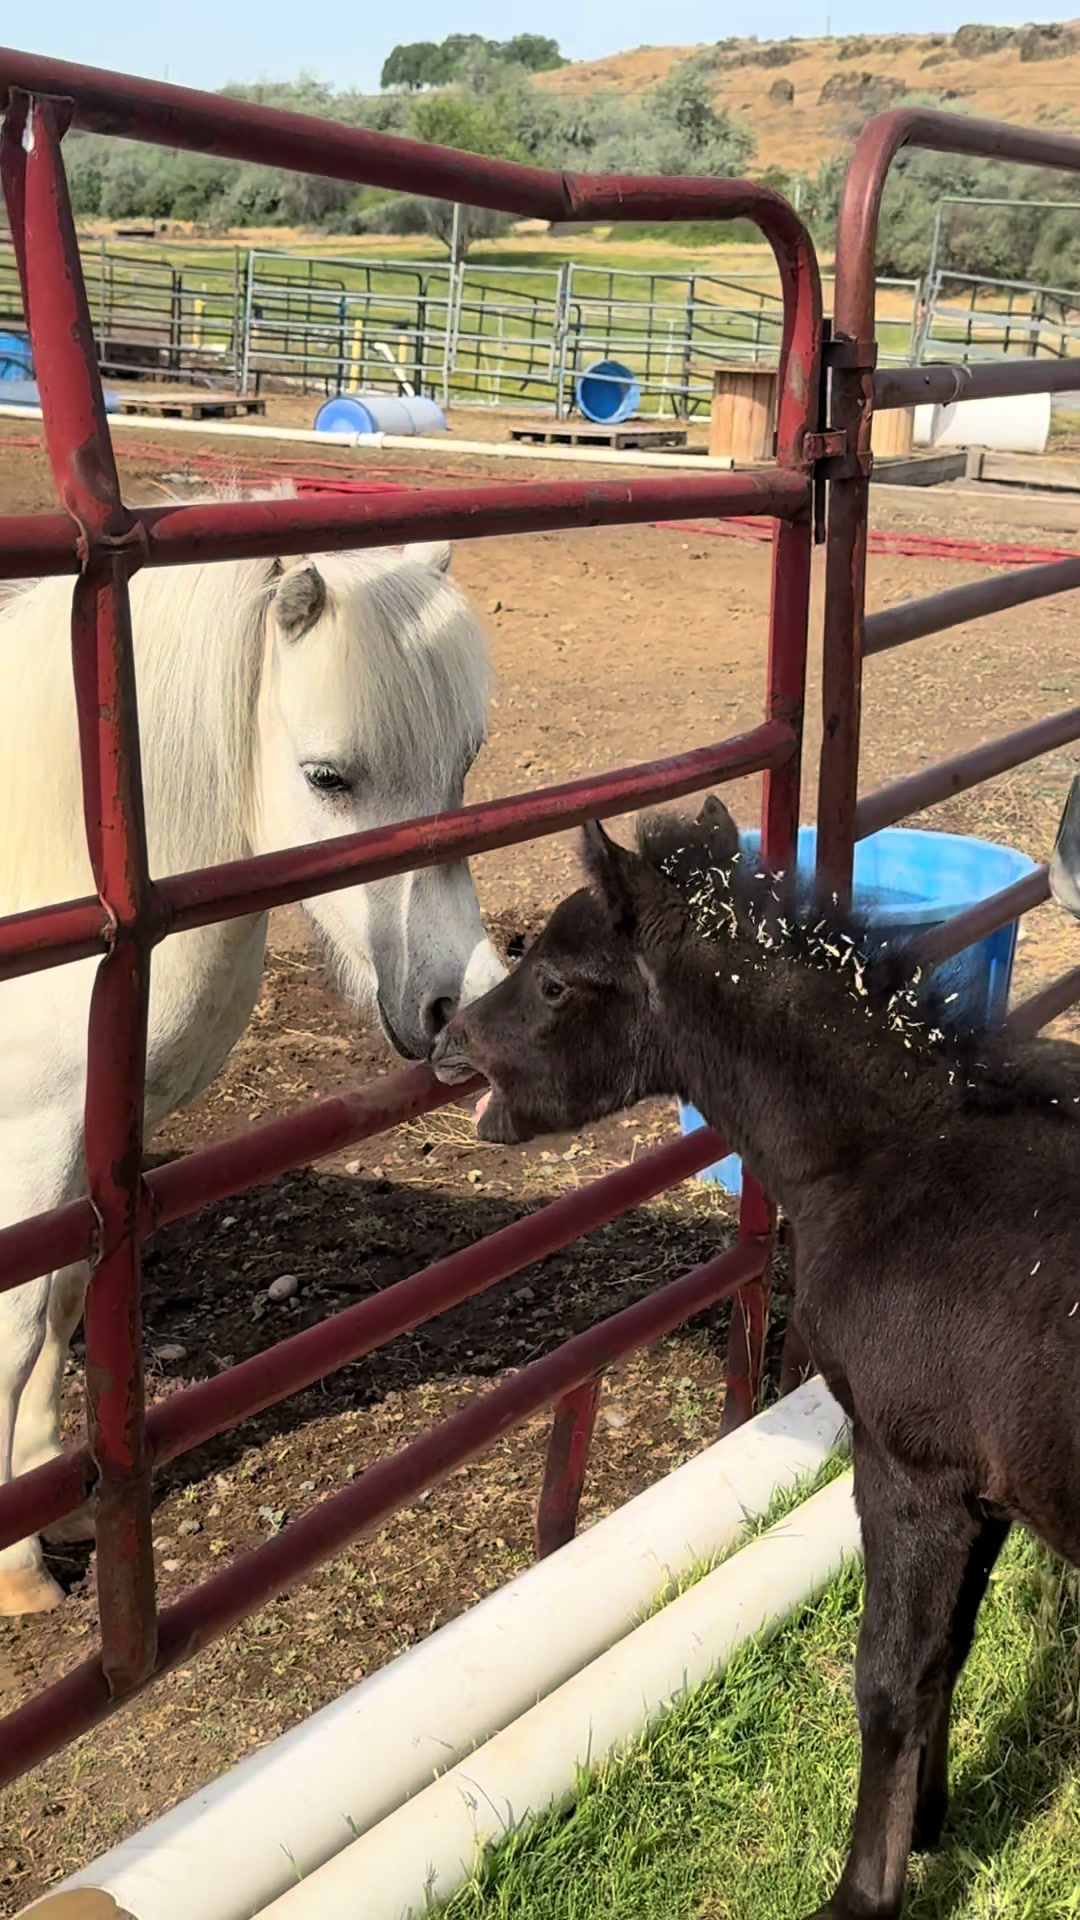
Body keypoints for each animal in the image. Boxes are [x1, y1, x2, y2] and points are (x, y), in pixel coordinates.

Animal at [0, 513, 504, 1615]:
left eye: (463, 766)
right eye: (328, 778)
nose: (459, 1004)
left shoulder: (90, 1158)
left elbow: (64, 1305)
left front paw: (52, 1493)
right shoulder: (27, 1140)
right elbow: (12, 1335)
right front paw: (17, 1572)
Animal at [432, 796, 1080, 1920]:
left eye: (555, 979)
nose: (445, 1050)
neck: (889, 1161)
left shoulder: (913, 1470)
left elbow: (890, 1678)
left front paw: (863, 1893)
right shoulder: (983, 1489)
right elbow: (949, 1651)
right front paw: (937, 1822)